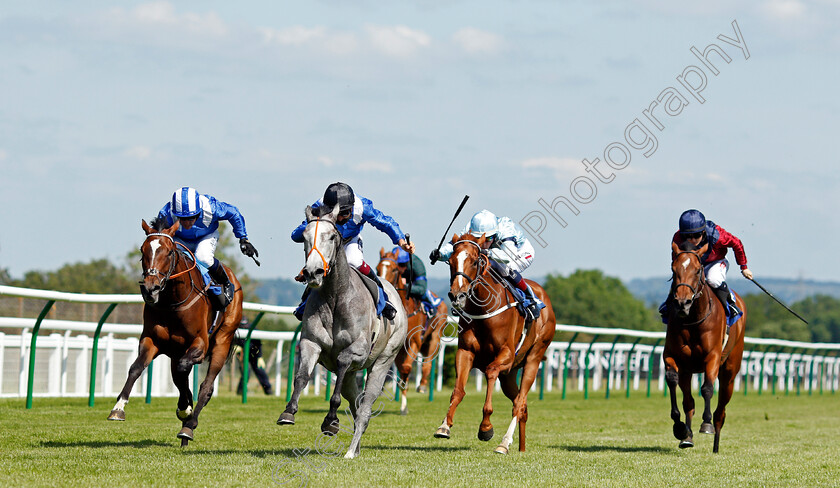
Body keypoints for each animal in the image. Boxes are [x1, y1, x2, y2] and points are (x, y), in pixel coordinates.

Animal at [108, 219, 243, 448]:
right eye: (142, 250)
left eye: (169, 252)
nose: (151, 289)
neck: (173, 301)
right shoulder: (151, 340)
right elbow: (136, 368)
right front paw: (118, 408)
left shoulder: (200, 344)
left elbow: (185, 372)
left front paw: (186, 410)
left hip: (222, 341)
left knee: (206, 387)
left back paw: (188, 428)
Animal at [278, 204, 408, 460]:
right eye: (304, 237)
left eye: (331, 236)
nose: (313, 272)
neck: (335, 297)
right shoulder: (310, 343)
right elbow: (301, 377)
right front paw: (288, 411)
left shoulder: (357, 350)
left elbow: (341, 365)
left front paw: (331, 421)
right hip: (352, 377)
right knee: (355, 406)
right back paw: (354, 448)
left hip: (383, 362)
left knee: (365, 408)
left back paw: (350, 451)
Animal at [378, 248, 450, 416]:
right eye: (378, 268)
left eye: (394, 269)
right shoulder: (397, 347)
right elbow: (401, 371)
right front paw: (403, 404)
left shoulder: (414, 341)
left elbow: (406, 368)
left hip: (434, 337)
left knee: (427, 364)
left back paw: (422, 385)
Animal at [434, 233, 556, 454]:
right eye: (451, 261)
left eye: (475, 261)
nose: (457, 295)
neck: (483, 310)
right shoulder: (465, 351)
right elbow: (458, 390)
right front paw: (444, 426)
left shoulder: (505, 354)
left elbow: (490, 371)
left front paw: (486, 428)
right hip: (509, 375)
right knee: (522, 405)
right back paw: (520, 447)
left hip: (534, 358)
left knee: (520, 402)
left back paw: (504, 443)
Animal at [668, 241, 744, 454]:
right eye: (674, 269)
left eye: (697, 270)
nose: (682, 302)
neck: (693, 319)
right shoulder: (672, 356)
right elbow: (672, 380)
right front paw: (680, 428)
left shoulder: (713, 357)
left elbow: (707, 388)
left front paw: (706, 423)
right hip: (688, 371)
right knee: (689, 402)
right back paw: (687, 437)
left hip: (729, 373)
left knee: (721, 411)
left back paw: (715, 443)